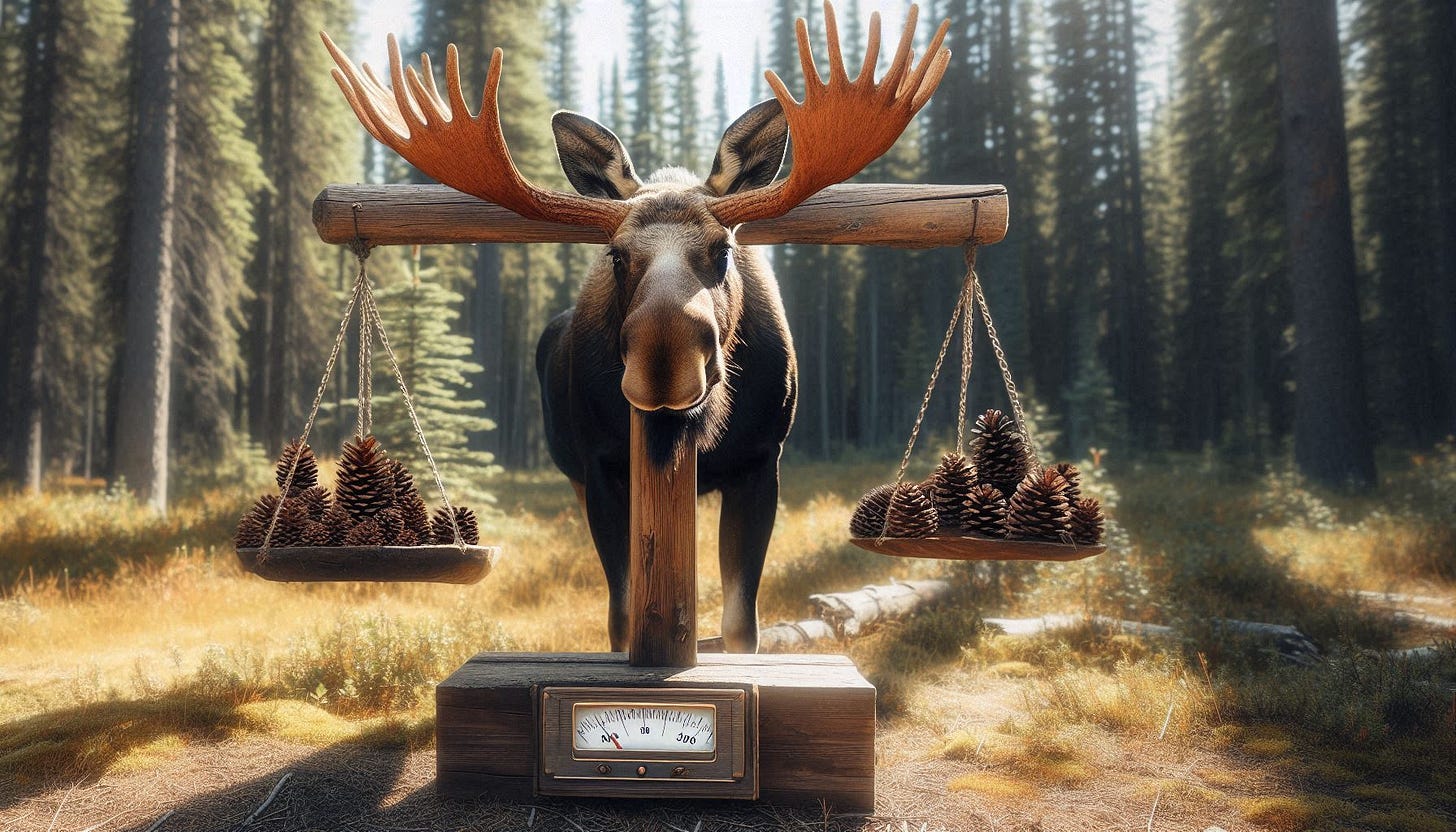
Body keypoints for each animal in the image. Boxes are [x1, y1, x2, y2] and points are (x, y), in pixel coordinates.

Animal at [323, 2, 950, 653]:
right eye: (616, 255)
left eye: (723, 250)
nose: (664, 362)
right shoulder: (602, 469)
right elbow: (623, 617)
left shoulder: (761, 461)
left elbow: (740, 625)